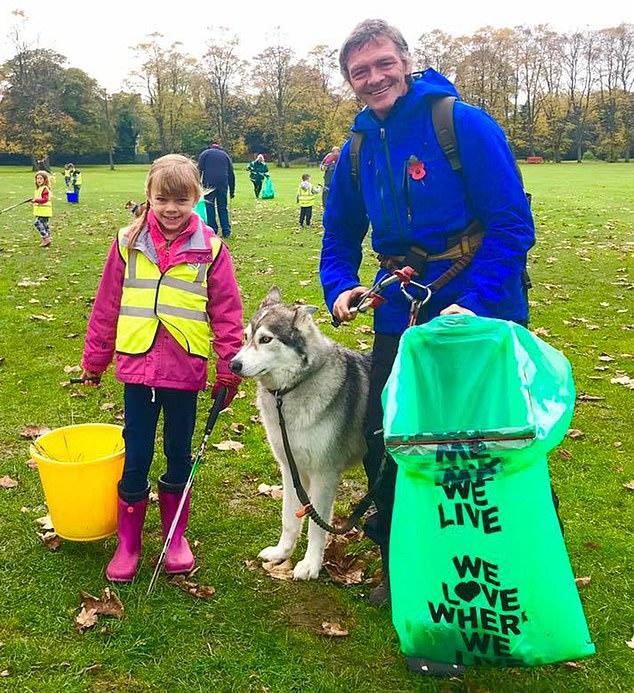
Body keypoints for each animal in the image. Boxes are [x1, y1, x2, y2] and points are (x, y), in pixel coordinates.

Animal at [228, 286, 370, 580]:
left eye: (266, 339)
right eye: (246, 337)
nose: (233, 364)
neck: (288, 393)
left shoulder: (324, 475)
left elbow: (317, 526)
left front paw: (310, 565)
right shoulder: (290, 469)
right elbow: (289, 519)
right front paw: (282, 553)